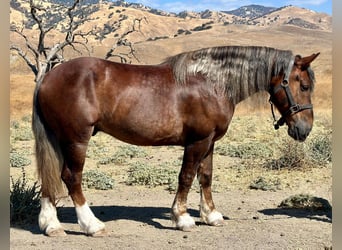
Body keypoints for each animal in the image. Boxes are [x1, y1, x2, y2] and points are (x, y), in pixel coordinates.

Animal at [32, 45, 318, 236]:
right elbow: (187, 177)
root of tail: (48, 76)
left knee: (49, 176)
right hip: (76, 140)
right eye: (303, 85)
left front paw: (211, 215)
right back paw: (91, 225)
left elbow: (206, 177)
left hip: (58, 139)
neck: (211, 82)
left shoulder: (210, 142)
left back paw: (51, 225)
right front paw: (182, 218)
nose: (304, 129)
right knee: (71, 178)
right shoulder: (197, 142)